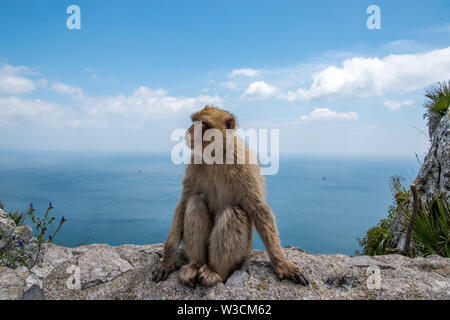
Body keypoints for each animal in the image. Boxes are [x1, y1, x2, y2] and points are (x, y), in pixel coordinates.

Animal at [152, 105, 310, 288]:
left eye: (202, 124)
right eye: (194, 121)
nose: (189, 130)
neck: (217, 154)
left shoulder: (242, 163)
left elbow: (258, 208)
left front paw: (282, 264)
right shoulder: (195, 161)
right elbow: (184, 201)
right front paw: (167, 261)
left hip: (242, 253)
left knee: (234, 212)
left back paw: (216, 272)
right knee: (195, 202)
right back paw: (195, 265)